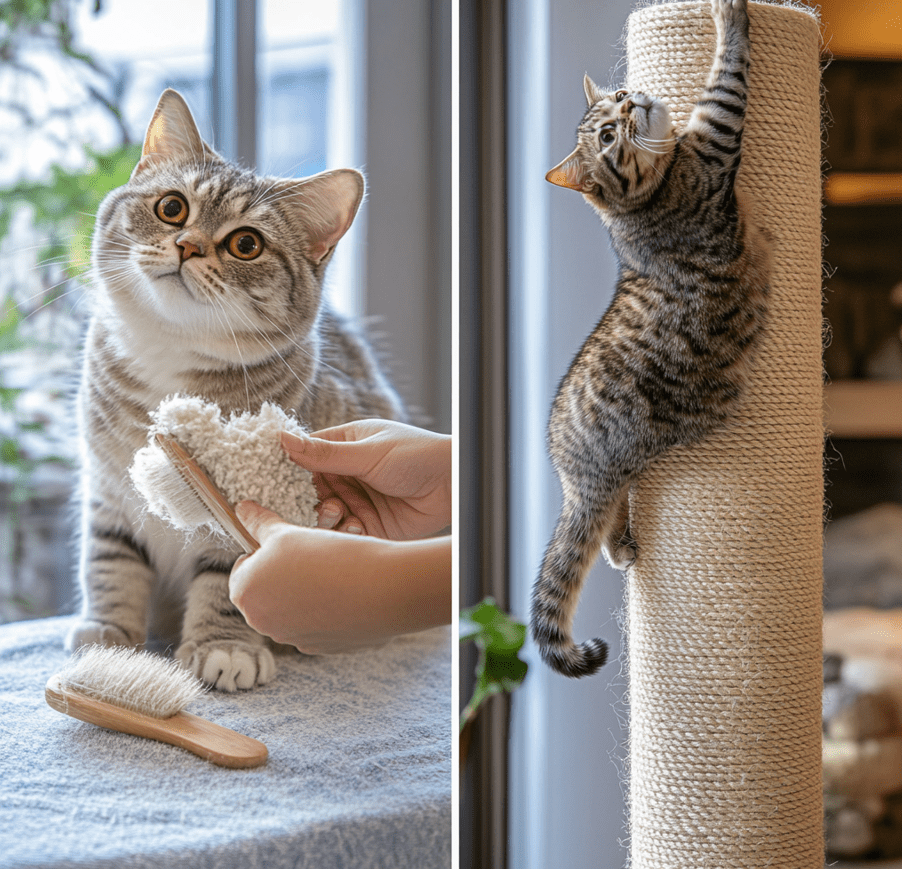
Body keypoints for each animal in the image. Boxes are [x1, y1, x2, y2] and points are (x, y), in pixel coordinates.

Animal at [72, 85, 404, 688]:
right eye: (172, 207)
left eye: (246, 244)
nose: (188, 246)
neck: (172, 359)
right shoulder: (109, 488)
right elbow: (111, 562)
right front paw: (109, 637)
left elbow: (226, 577)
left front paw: (223, 647)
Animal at [532, 0, 772, 680]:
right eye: (607, 137)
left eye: (617, 100)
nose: (631, 101)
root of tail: (572, 474)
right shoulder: (717, 136)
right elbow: (728, 67)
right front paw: (729, 12)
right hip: (650, 445)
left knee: (606, 526)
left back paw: (624, 548)